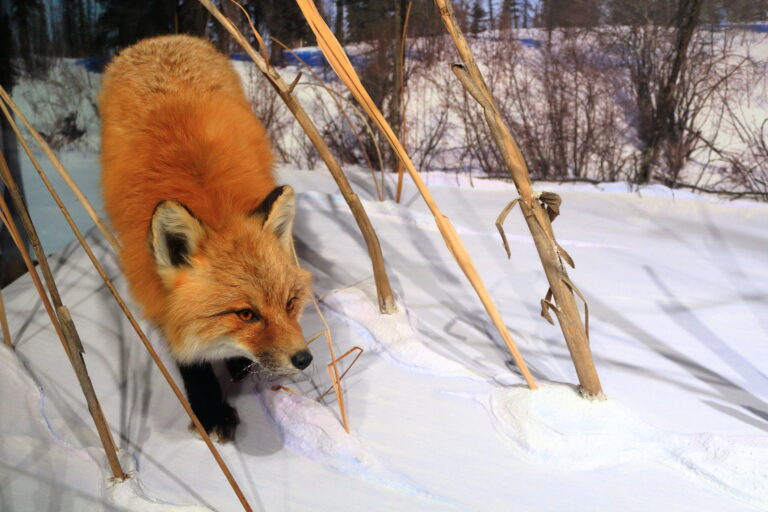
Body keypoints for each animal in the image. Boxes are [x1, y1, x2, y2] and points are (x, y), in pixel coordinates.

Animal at [99, 35, 313, 442]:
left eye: (291, 303)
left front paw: (238, 366)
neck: (211, 202)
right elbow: (189, 361)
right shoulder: (154, 289)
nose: (304, 358)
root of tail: (158, 39)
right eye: (246, 314)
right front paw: (209, 410)